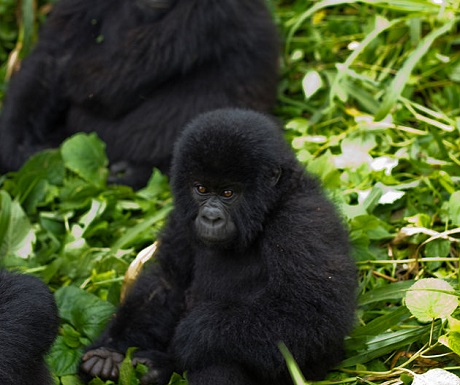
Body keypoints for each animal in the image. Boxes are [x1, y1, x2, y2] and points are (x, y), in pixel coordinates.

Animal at [81, 109, 358, 384]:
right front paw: (112, 350)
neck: (270, 205)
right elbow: (166, 284)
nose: (211, 217)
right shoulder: (182, 217)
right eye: (201, 188)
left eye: (228, 193)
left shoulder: (302, 220)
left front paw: (193, 335)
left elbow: (308, 313)